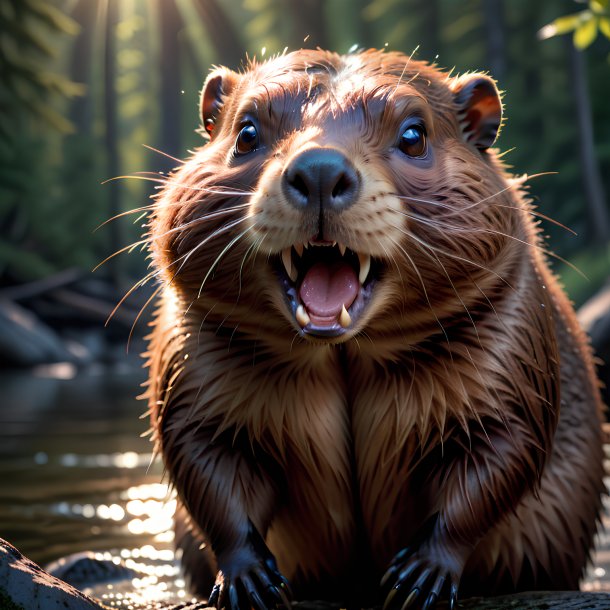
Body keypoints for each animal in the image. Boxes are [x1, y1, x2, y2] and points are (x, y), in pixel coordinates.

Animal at [144, 48, 604, 608]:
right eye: (247, 131)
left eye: (414, 135)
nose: (320, 170)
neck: (342, 351)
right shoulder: (192, 355)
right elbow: (205, 458)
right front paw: (249, 582)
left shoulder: (513, 347)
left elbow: (501, 452)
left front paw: (419, 579)